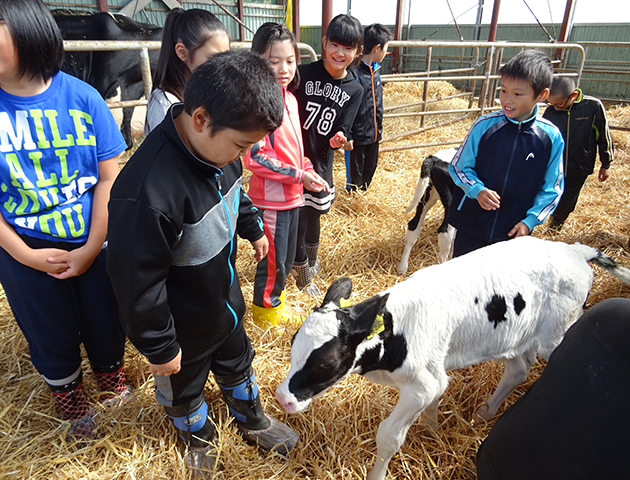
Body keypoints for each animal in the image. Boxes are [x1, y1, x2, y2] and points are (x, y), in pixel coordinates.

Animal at [276, 236, 630, 480]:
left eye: (325, 364)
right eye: (294, 345)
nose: (282, 398)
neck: (396, 332)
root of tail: (575, 250)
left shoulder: (422, 385)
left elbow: (388, 436)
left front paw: (378, 474)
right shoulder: (435, 375)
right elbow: (435, 404)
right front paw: (433, 431)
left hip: (556, 334)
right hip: (515, 336)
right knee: (517, 370)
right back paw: (485, 412)